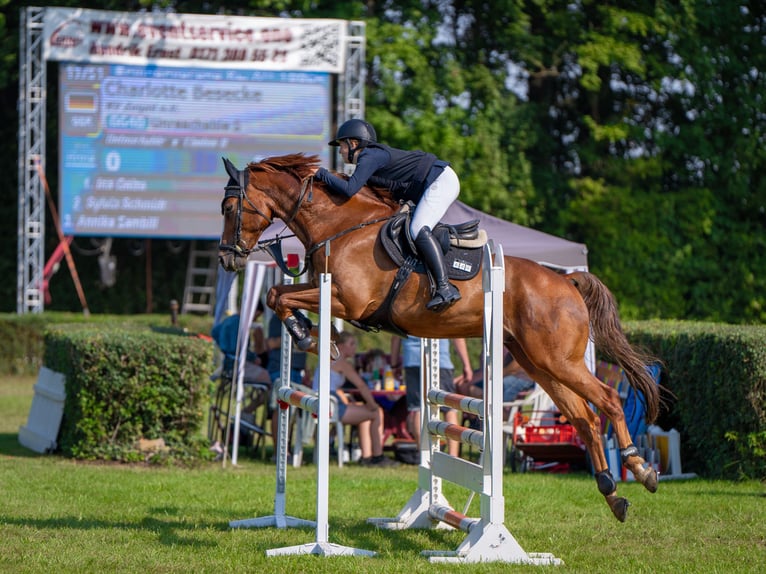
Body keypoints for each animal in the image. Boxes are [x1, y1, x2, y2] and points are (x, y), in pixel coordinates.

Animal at [219, 153, 664, 520]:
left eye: (228, 207)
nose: (226, 257)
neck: (342, 227)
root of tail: (567, 281)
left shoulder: (348, 300)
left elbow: (280, 295)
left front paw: (312, 337)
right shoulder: (327, 291)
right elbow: (278, 295)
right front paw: (310, 334)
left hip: (558, 360)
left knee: (607, 400)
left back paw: (640, 468)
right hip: (539, 363)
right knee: (584, 418)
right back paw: (612, 494)